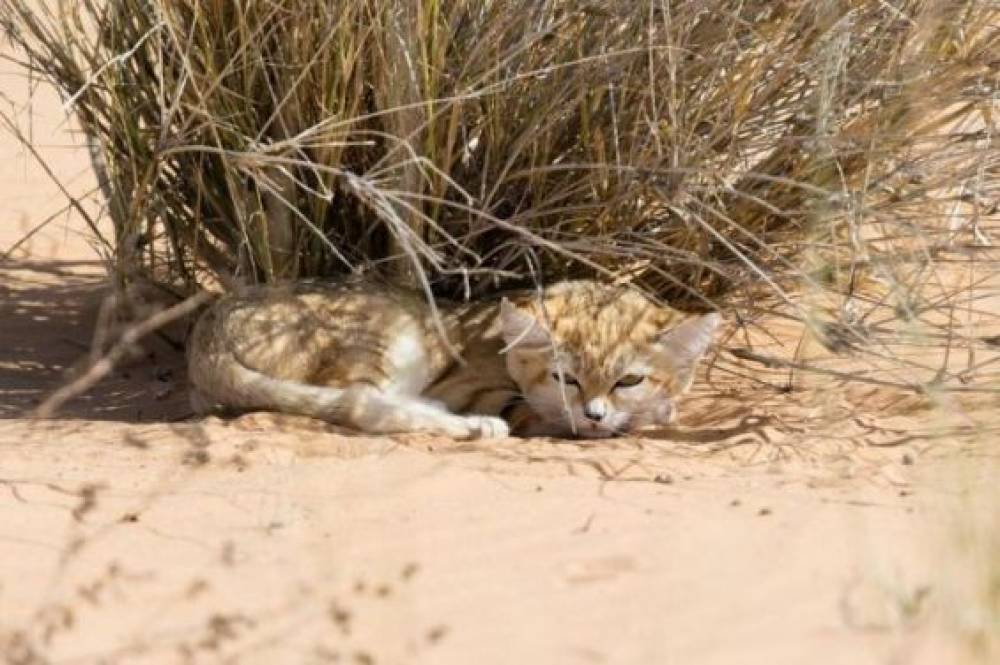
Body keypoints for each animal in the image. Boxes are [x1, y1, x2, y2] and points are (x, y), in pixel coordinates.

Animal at [188, 278, 720, 438]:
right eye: (564, 379)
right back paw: (470, 426)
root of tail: (208, 331)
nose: (593, 414)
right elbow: (535, 414)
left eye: (628, 380)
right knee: (362, 405)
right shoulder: (476, 386)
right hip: (393, 337)